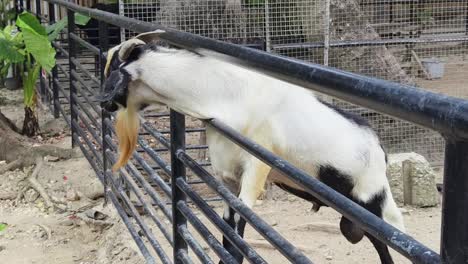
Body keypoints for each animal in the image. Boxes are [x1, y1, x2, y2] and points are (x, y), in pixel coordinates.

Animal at [99, 31, 406, 264]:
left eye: (115, 70)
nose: (103, 101)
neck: (226, 95)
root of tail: (380, 151)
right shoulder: (227, 179)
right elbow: (227, 232)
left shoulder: (254, 171)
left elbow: (238, 236)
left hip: (371, 202)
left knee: (386, 242)